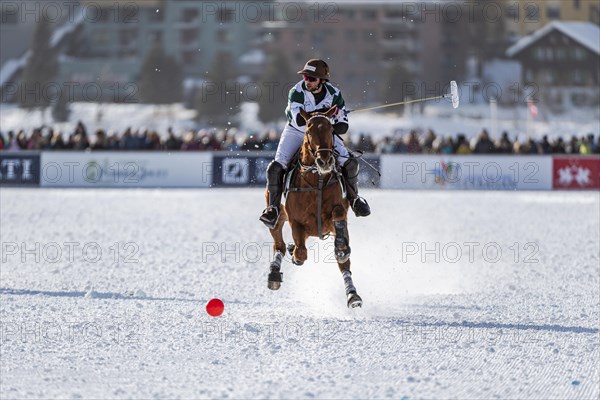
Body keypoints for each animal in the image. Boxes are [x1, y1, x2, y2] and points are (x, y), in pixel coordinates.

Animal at [266, 106, 360, 310]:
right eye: (308, 131)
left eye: (331, 130)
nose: (325, 161)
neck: (316, 180)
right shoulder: (296, 222)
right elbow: (300, 254)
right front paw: (293, 253)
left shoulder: (336, 216)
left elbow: (340, 222)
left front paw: (341, 248)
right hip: (276, 209)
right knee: (279, 239)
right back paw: (275, 272)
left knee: (344, 264)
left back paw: (353, 295)